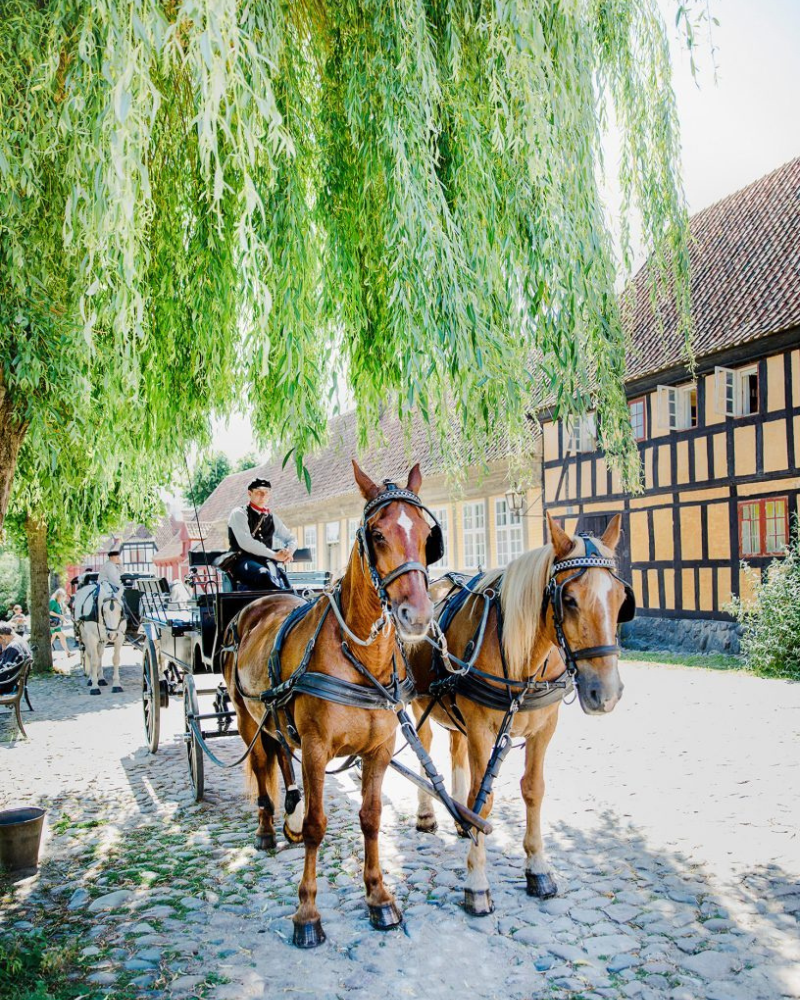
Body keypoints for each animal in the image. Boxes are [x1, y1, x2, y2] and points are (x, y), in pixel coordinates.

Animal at [222, 460, 440, 944]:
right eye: (377, 534)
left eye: (426, 533)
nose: (417, 616)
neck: (358, 656)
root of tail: (257, 604)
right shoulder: (317, 749)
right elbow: (317, 826)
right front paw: (307, 912)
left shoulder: (378, 750)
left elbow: (371, 817)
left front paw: (378, 896)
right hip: (247, 719)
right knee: (262, 766)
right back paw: (267, 828)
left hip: (277, 719)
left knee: (281, 759)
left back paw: (287, 812)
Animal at [410, 516, 636, 916]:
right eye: (569, 600)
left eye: (621, 599)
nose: (605, 693)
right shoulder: (482, 730)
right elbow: (482, 798)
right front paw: (477, 883)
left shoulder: (544, 729)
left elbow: (533, 789)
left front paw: (538, 868)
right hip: (417, 704)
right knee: (423, 748)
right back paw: (428, 814)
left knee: (453, 749)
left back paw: (459, 818)